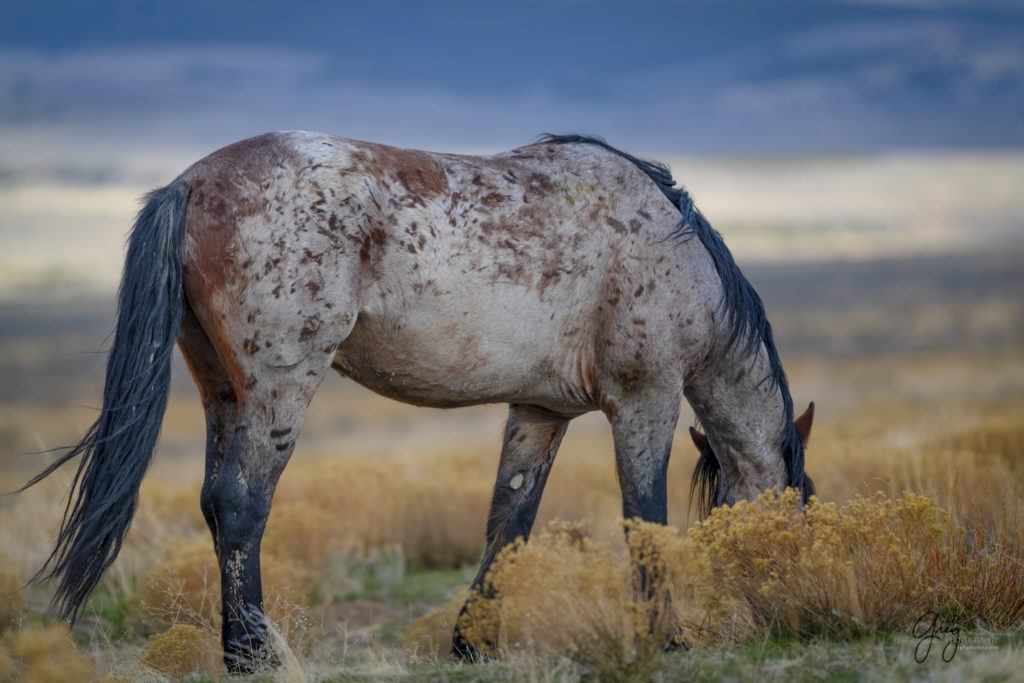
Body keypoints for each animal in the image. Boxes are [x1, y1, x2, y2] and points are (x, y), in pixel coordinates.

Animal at [24, 129, 815, 671]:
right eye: (797, 513)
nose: (784, 612)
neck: (672, 249)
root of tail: (188, 183)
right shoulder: (645, 398)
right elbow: (643, 518)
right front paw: (665, 638)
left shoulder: (541, 412)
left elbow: (509, 522)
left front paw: (471, 644)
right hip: (280, 388)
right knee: (241, 503)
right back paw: (254, 657)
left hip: (222, 391)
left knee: (216, 506)